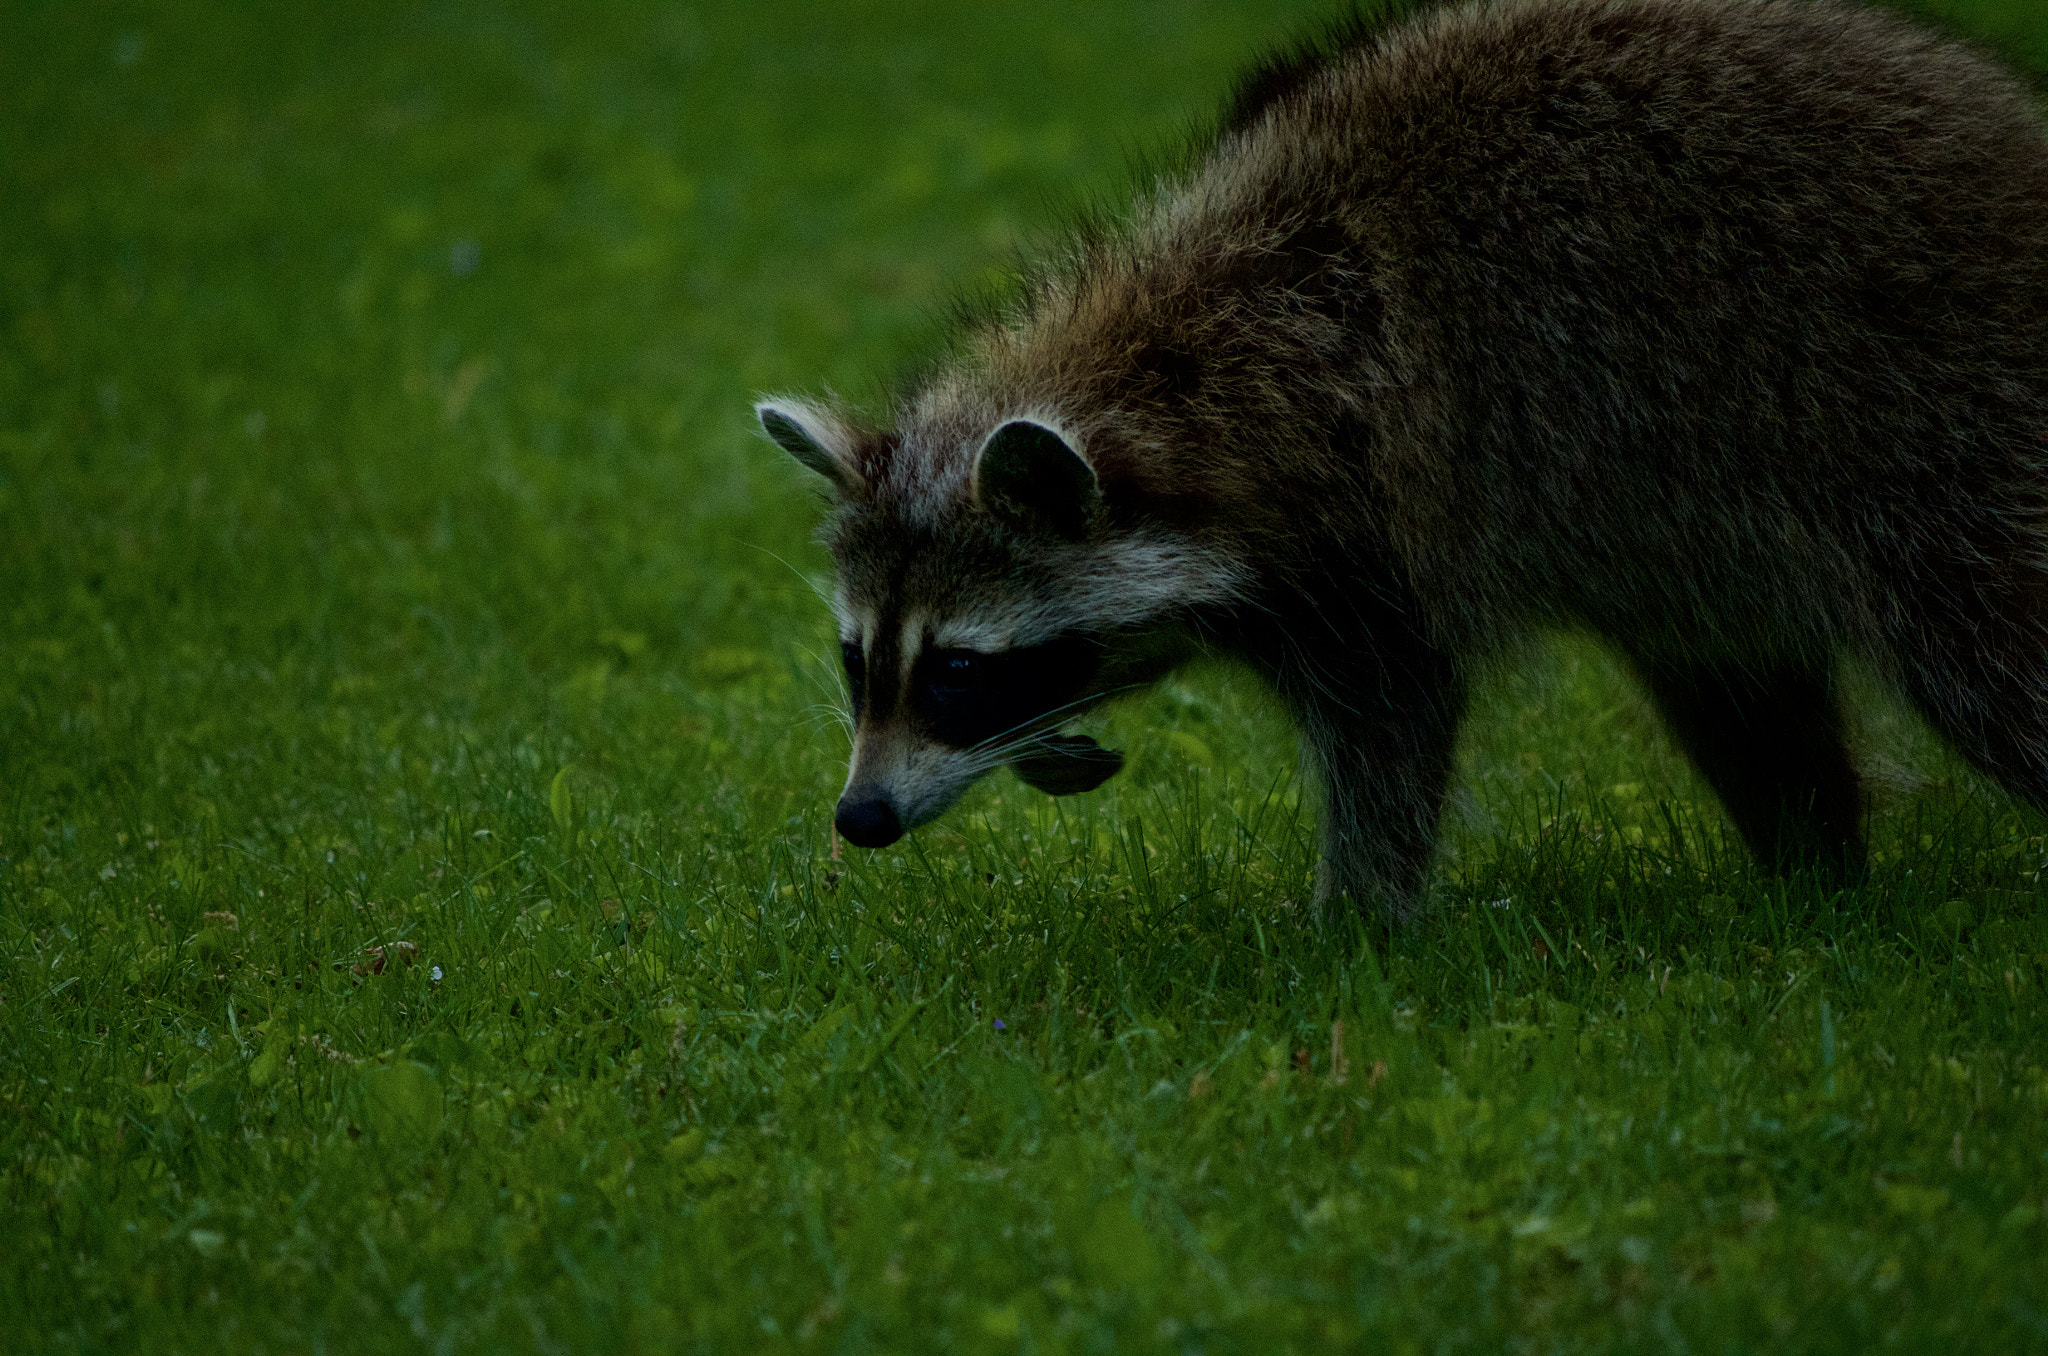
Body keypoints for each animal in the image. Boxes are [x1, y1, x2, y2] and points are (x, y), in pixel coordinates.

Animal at [757, 0, 2048, 925]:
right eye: (857, 660)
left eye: (957, 672)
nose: (859, 817)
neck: (1175, 378)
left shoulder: (1366, 532)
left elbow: (1392, 733)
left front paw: (1354, 925)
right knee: (1729, 679)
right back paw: (1814, 874)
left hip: (1924, 422)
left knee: (1989, 659)